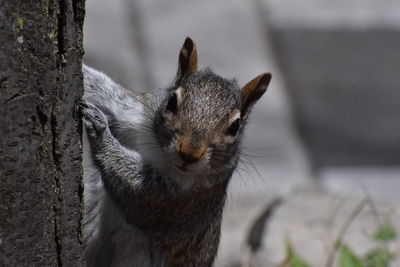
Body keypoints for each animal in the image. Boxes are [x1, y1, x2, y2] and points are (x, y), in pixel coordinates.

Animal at [79, 38, 270, 267]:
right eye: (171, 101)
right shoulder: (132, 115)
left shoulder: (182, 200)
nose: (189, 153)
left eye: (235, 127)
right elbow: (105, 91)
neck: (161, 153)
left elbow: (138, 191)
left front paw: (99, 131)